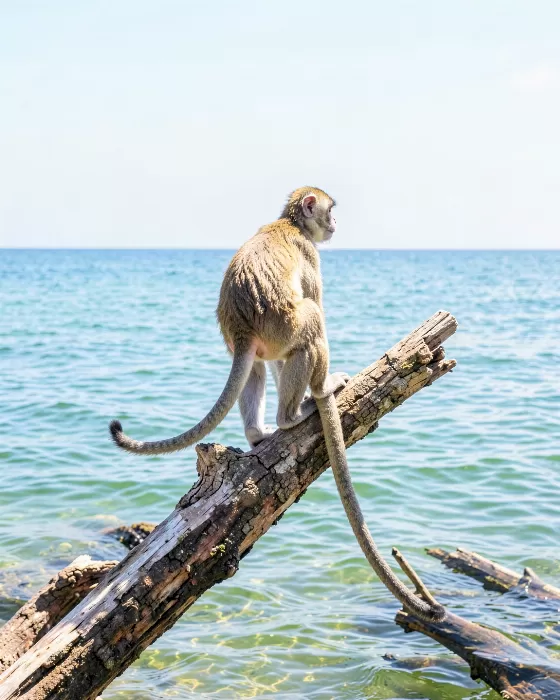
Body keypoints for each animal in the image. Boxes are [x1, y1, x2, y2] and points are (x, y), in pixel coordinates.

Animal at [109, 187, 445, 622]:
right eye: (330, 211)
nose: (335, 225)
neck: (289, 224)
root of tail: (240, 326)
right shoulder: (310, 254)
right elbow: (316, 309)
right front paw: (323, 389)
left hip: (260, 338)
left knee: (254, 369)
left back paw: (259, 433)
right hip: (282, 324)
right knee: (311, 321)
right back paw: (294, 414)